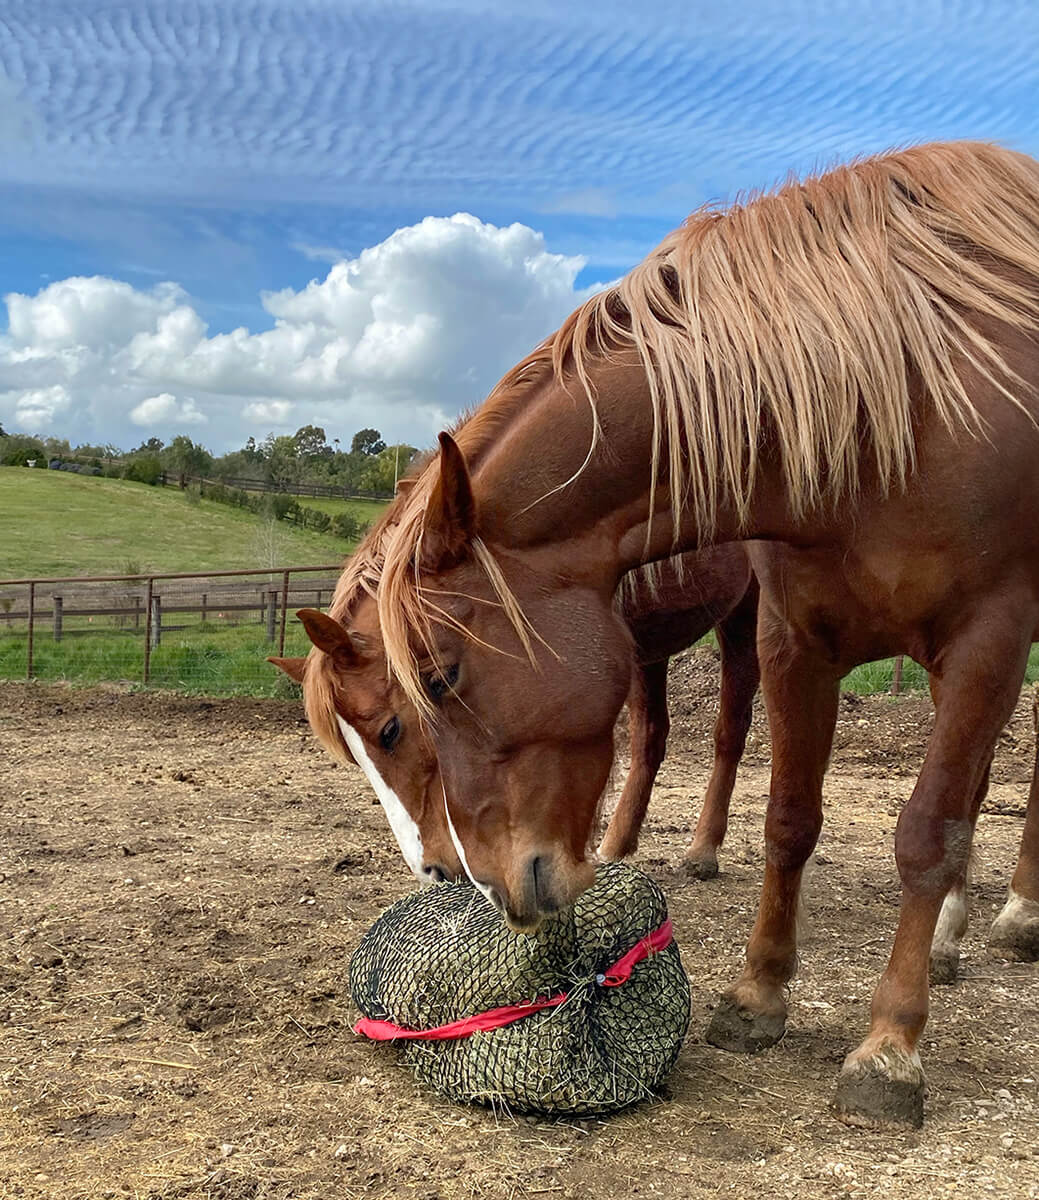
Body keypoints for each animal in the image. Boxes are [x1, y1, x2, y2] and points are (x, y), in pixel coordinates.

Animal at [298, 141, 1039, 1126]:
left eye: (427, 693)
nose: (469, 882)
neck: (896, 400)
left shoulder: (988, 634)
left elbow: (925, 834)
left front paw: (888, 1049)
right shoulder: (797, 639)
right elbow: (788, 817)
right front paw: (757, 995)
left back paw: (1014, 916)